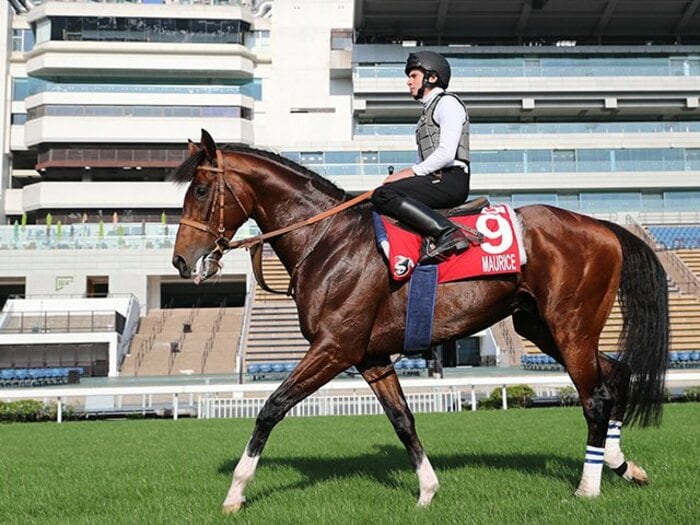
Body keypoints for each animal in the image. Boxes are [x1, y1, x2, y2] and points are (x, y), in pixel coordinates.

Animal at [171, 130, 668, 513]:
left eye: (200, 191)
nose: (180, 261)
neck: (327, 239)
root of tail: (603, 226)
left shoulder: (334, 348)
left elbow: (272, 407)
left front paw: (235, 492)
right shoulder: (370, 356)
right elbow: (402, 419)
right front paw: (428, 490)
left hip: (570, 329)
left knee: (595, 398)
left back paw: (588, 487)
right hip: (542, 328)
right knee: (616, 375)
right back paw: (623, 465)